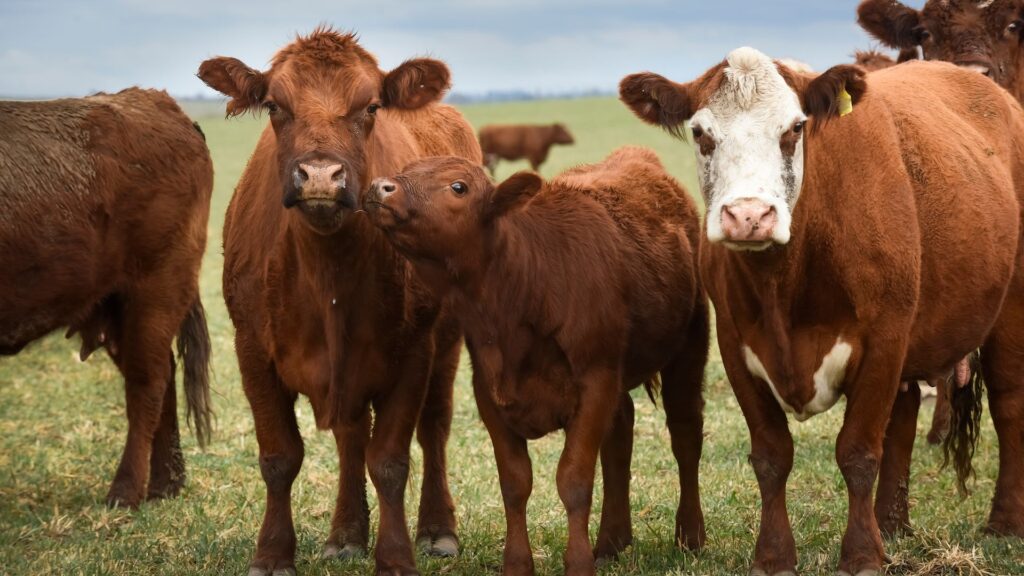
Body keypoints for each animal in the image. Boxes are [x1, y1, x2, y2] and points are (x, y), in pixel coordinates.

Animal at [0, 88, 214, 508]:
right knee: (160, 378)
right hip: (116, 310)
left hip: (154, 295)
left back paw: (126, 491)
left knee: (148, 384)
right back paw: (165, 485)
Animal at [196, 28, 481, 576]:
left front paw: (395, 556)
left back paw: (438, 529)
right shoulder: (252, 350)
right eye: (274, 105)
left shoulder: (413, 353)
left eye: (371, 107)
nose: (321, 177)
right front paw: (273, 553)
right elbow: (279, 457)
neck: (327, 272)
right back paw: (345, 534)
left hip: (448, 341)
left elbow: (390, 460)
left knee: (434, 427)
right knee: (351, 437)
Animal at [364, 147, 710, 576]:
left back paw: (690, 536)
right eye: (406, 170)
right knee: (621, 433)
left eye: (458, 187)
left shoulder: (594, 383)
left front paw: (578, 563)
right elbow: (515, 483)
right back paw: (611, 541)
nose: (381, 186)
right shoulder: (490, 391)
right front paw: (517, 563)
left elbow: (574, 480)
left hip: (690, 344)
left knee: (685, 434)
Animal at [620, 48, 1024, 576]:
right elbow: (772, 455)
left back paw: (1003, 522)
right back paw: (892, 524)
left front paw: (862, 555)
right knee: (904, 416)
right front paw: (774, 555)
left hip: (1009, 311)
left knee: (1008, 404)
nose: (749, 216)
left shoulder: (884, 342)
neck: (785, 280)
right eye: (702, 132)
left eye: (794, 128)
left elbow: (857, 451)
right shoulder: (735, 347)